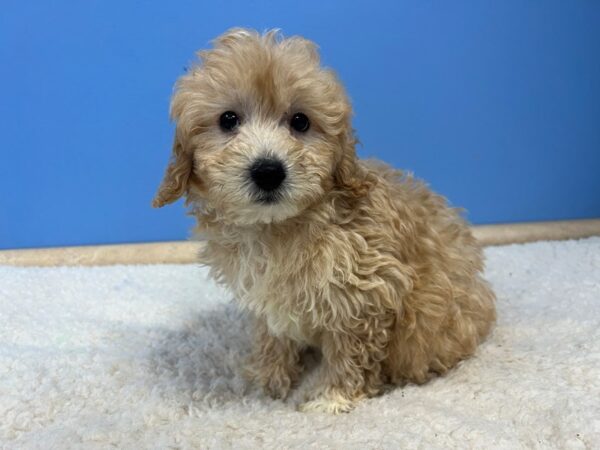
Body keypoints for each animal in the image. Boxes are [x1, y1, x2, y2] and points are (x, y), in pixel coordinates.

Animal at [154, 28, 496, 414]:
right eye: (228, 120)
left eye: (300, 121)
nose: (268, 171)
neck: (277, 228)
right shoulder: (268, 296)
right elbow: (273, 336)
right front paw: (269, 379)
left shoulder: (365, 293)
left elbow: (351, 351)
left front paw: (333, 397)